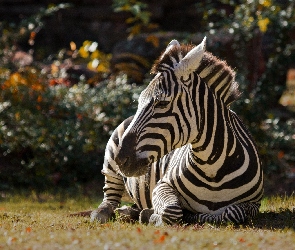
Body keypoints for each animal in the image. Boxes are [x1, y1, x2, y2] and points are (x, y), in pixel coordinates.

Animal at [91, 37, 264, 227]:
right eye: (139, 101)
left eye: (162, 103)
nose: (121, 159)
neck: (213, 169)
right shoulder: (162, 185)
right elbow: (172, 210)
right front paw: (153, 215)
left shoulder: (254, 203)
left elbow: (233, 213)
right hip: (110, 162)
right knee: (109, 196)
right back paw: (103, 213)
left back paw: (130, 211)